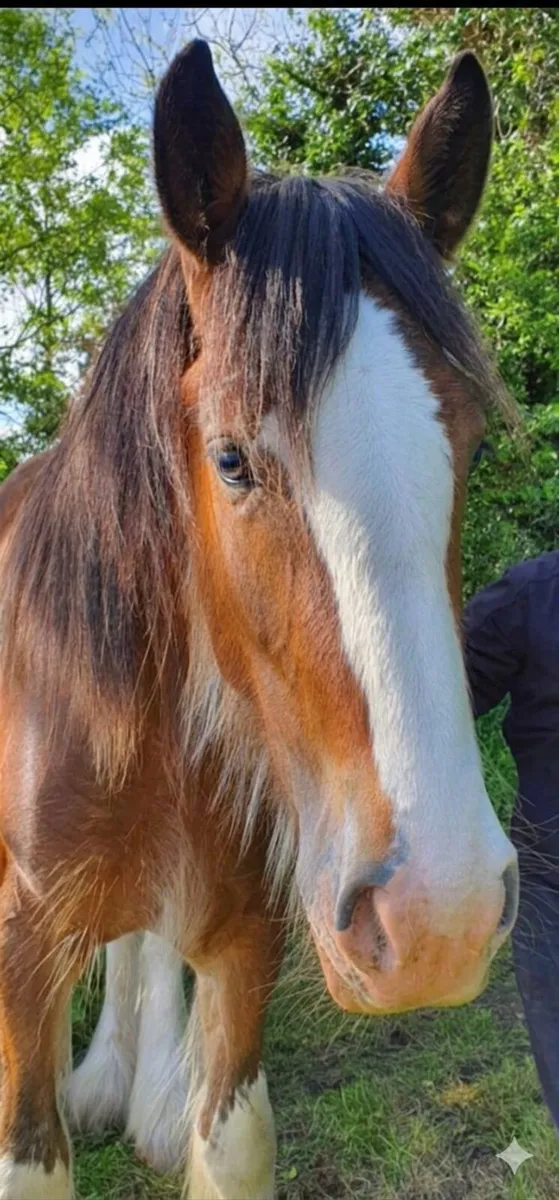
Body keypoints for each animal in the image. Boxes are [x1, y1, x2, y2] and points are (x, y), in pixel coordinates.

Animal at [0, 40, 519, 1200]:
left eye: (467, 445)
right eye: (231, 459)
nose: (439, 919)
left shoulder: (246, 942)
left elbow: (227, 1132)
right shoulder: (19, 953)